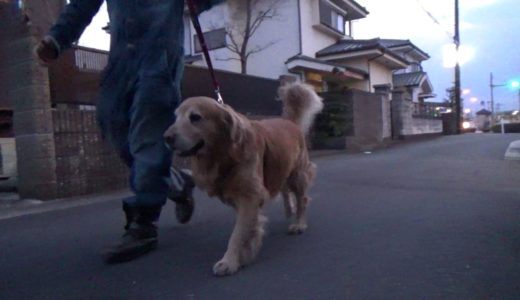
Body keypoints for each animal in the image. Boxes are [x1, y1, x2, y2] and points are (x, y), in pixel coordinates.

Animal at [165, 82, 322, 276]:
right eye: (175, 117)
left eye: (195, 117)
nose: (166, 137)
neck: (224, 154)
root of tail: (289, 121)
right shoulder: (241, 197)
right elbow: (247, 227)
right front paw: (246, 250)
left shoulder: (250, 195)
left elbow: (238, 233)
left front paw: (229, 261)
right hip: (281, 167)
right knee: (285, 190)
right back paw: (289, 210)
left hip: (298, 174)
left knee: (302, 199)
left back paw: (299, 223)